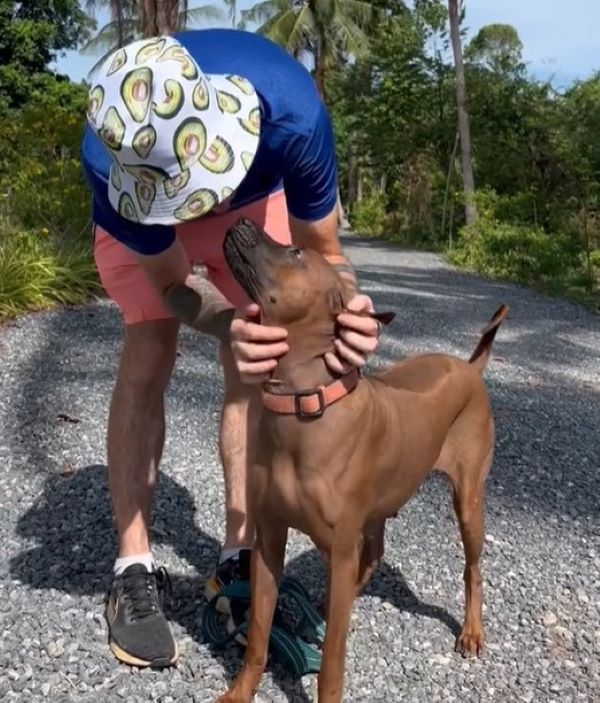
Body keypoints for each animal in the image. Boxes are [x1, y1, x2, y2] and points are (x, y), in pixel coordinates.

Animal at [216, 220, 506, 703]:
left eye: (295, 252)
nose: (240, 222)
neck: (302, 404)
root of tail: (469, 367)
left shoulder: (336, 549)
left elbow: (332, 660)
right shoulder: (270, 540)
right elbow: (258, 634)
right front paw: (240, 691)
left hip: (469, 502)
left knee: (473, 569)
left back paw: (470, 631)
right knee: (373, 552)